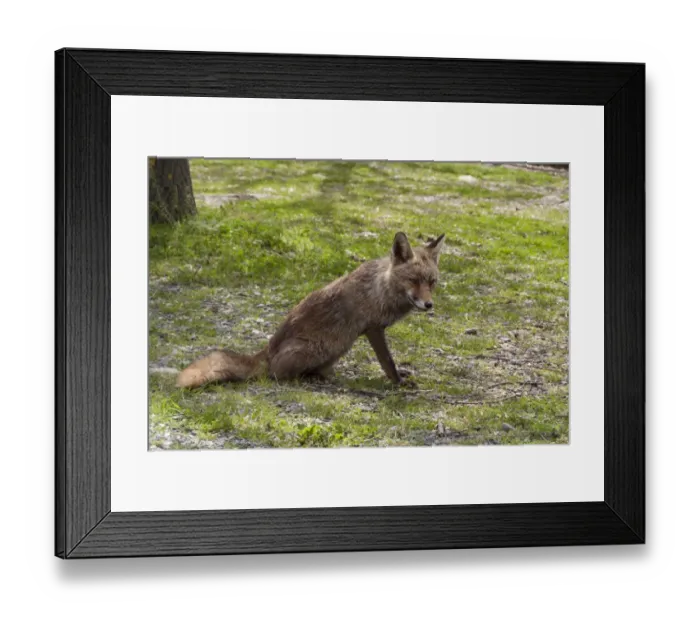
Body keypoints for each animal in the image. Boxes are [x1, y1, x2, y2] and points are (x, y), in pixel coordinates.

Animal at [176, 231, 446, 389]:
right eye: (413, 280)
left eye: (432, 282)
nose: (429, 305)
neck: (383, 287)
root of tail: (268, 350)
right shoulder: (374, 328)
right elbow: (387, 361)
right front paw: (397, 382)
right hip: (318, 348)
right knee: (275, 374)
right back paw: (306, 378)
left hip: (338, 349)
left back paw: (323, 376)